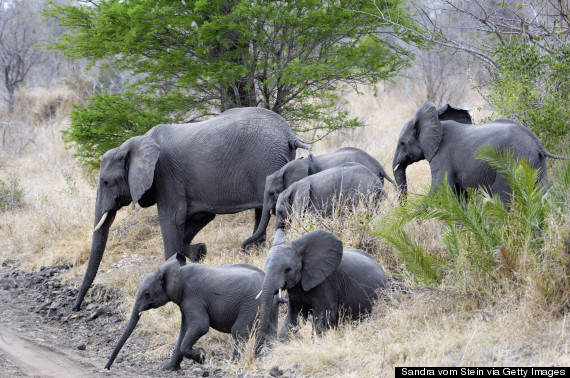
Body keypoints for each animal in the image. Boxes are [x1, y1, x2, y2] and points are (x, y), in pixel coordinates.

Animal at [74, 106, 310, 310]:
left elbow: (171, 219)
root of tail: (288, 132)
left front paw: (174, 267)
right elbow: (200, 216)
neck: (135, 143)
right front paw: (199, 252)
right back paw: (253, 249)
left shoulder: (165, 175)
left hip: (267, 160)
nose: (76, 307)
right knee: (262, 209)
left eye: (106, 182)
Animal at [105, 252, 280, 370]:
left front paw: (201, 357)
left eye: (147, 294)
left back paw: (234, 364)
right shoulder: (185, 301)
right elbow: (184, 330)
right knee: (269, 333)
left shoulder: (191, 296)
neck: (178, 271)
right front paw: (168, 368)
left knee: (239, 331)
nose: (106, 368)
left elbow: (200, 326)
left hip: (251, 304)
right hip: (270, 307)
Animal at [390, 99, 564, 201]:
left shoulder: (442, 156)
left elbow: (440, 189)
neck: (438, 123)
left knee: (503, 197)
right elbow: (460, 196)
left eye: (402, 143)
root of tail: (537, 142)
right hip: (535, 162)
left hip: (513, 162)